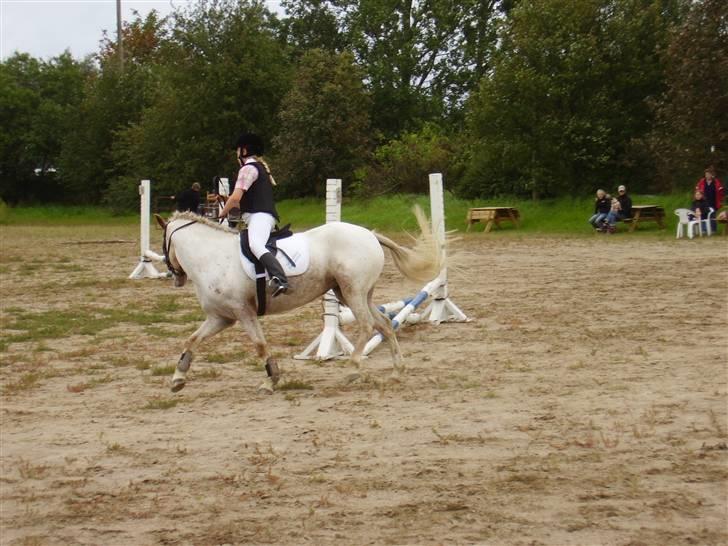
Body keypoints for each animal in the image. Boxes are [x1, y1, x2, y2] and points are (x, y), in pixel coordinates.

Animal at [155, 208, 444, 392]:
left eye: (164, 245)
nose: (175, 277)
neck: (212, 257)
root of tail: (370, 234)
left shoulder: (243, 312)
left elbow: (260, 345)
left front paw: (270, 381)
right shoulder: (221, 317)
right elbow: (192, 340)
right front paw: (178, 378)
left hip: (352, 291)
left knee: (366, 325)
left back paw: (352, 369)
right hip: (355, 293)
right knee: (384, 322)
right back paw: (397, 371)